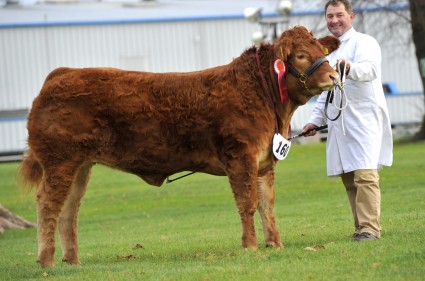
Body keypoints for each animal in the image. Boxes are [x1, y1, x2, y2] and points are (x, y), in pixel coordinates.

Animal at [19, 25, 340, 266]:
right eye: (301, 55)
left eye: (323, 52)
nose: (334, 75)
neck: (265, 98)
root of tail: (62, 73)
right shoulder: (241, 155)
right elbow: (247, 203)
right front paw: (250, 246)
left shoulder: (264, 160)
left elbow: (267, 205)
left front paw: (275, 243)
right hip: (60, 161)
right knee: (48, 204)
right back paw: (46, 261)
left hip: (81, 165)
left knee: (69, 209)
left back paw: (72, 261)